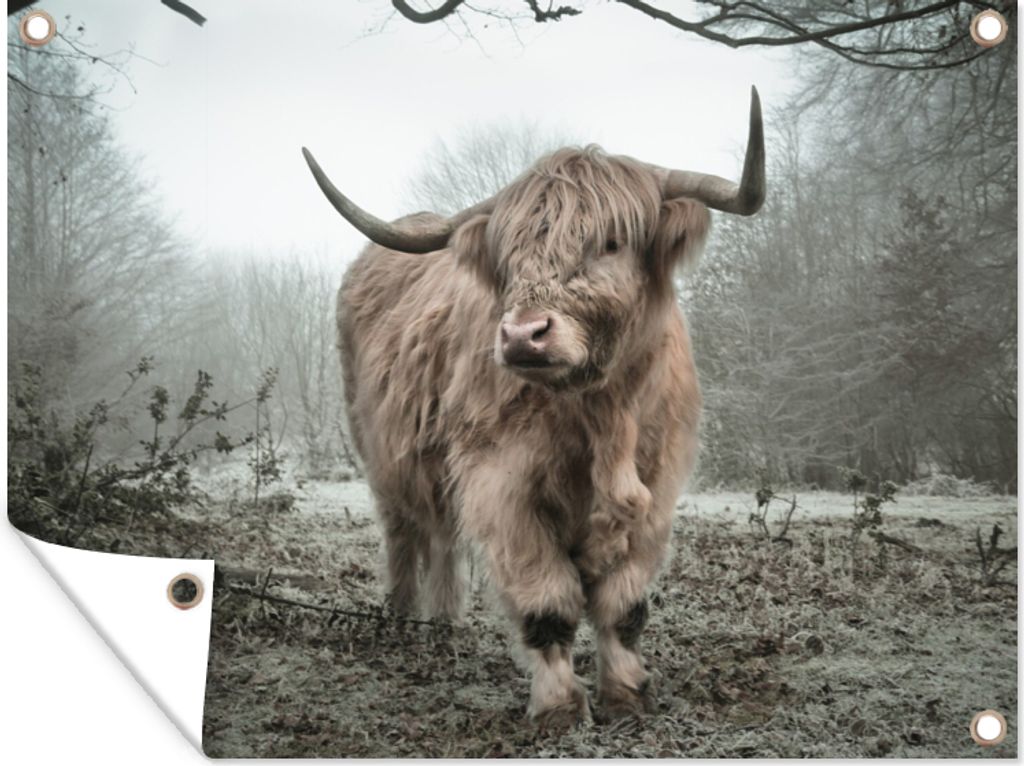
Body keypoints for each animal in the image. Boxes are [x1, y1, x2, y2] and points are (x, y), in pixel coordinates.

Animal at [302, 88, 765, 726]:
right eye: (510, 255)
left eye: (611, 242)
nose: (523, 335)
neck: (600, 415)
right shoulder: (502, 484)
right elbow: (548, 602)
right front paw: (560, 708)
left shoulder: (657, 486)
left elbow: (624, 606)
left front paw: (627, 694)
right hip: (380, 453)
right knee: (404, 533)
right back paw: (402, 618)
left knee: (442, 537)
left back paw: (443, 623)